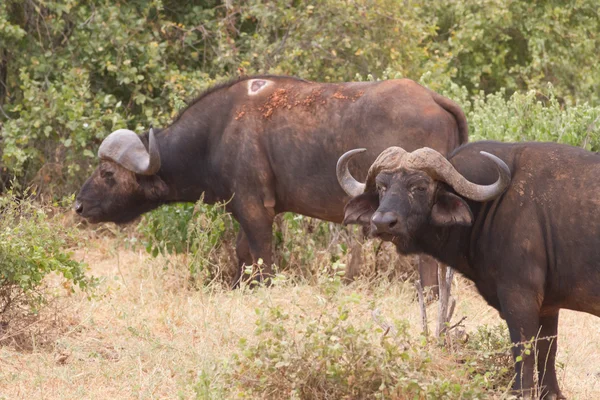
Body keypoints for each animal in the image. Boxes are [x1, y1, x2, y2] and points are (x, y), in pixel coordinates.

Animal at [75, 75, 468, 288]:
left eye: (108, 174)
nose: (79, 205)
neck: (215, 133)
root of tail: (434, 99)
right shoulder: (254, 209)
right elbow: (243, 254)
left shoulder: (253, 208)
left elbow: (262, 257)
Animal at [336, 140, 600, 396]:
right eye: (382, 186)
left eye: (419, 187)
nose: (382, 222)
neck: (492, 204)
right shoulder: (548, 308)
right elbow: (547, 355)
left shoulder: (520, 298)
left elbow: (523, 358)